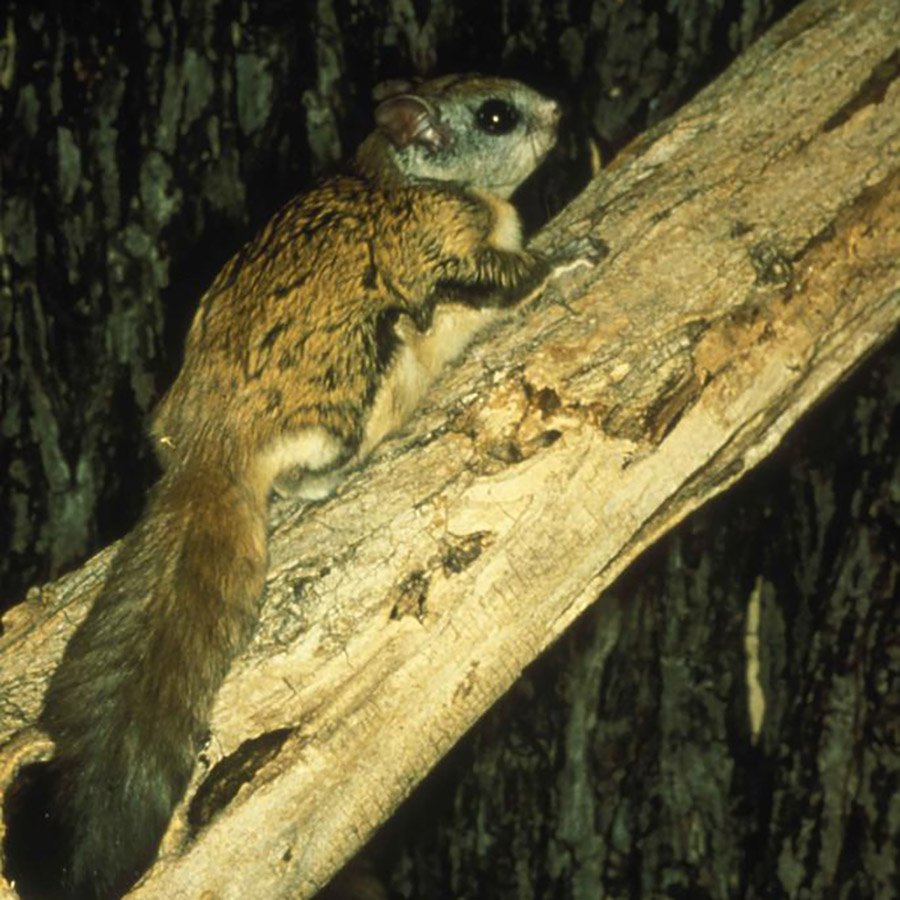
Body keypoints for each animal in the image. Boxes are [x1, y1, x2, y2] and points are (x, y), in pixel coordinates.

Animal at [40, 73, 592, 899]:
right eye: (497, 114)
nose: (561, 111)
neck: (405, 176)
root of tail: (209, 446)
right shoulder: (446, 249)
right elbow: (509, 278)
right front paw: (568, 257)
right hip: (360, 368)